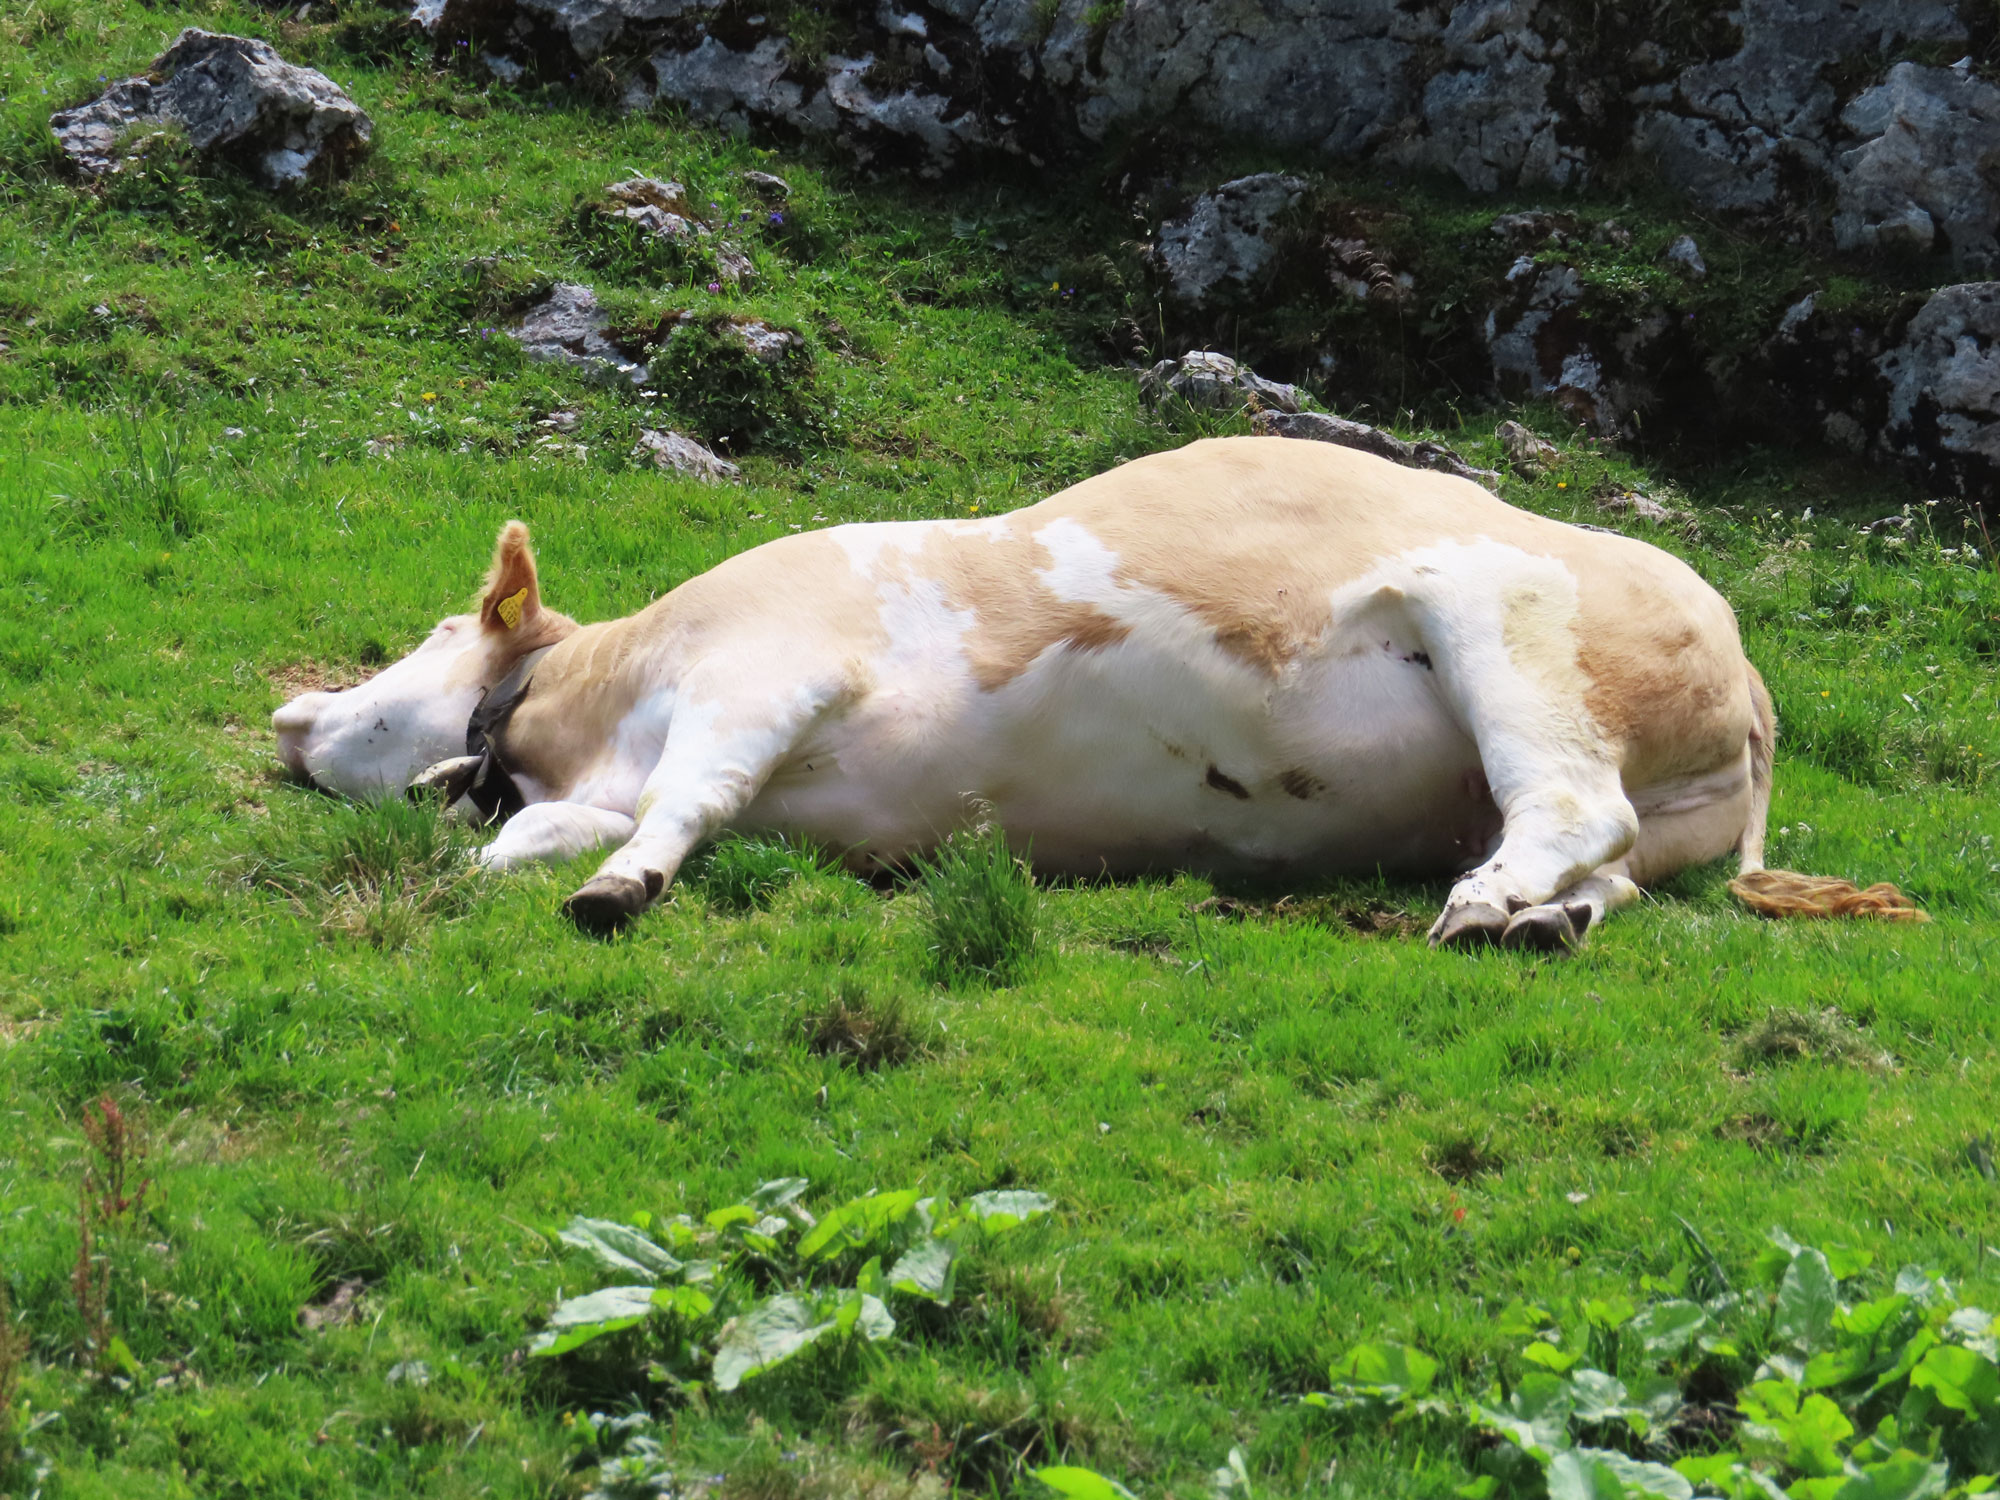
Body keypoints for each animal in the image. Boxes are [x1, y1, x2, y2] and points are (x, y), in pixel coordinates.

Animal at [273, 436, 1911, 949]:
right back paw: (1545, 921)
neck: (595, 714)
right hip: (1650, 809)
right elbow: (525, 837)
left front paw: (624, 886)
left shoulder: (769, 664)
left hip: (1506, 627)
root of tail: (1751, 676)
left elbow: (687, 795)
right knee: (1614, 868)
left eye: (434, 628)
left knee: (1568, 803)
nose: (286, 718)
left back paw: (1489, 908)